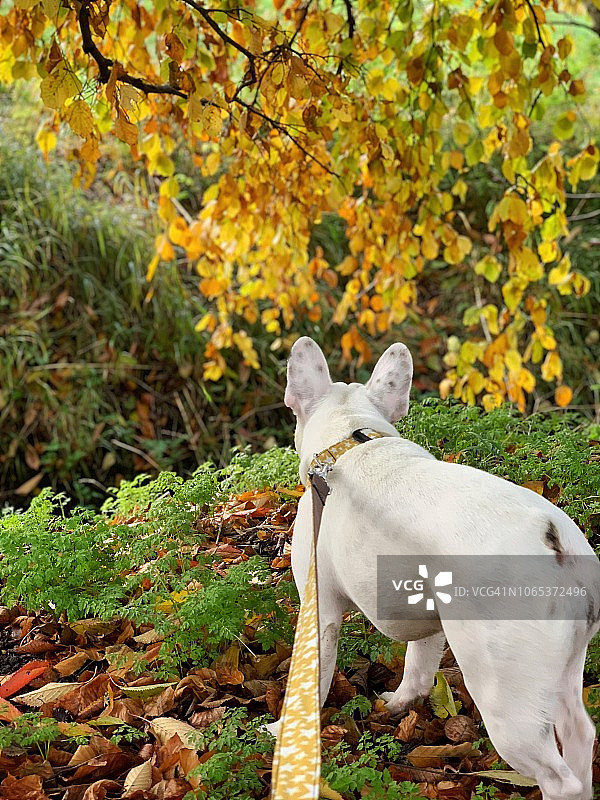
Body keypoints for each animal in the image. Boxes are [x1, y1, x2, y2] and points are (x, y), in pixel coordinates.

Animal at [274, 338, 600, 800]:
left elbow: (315, 678)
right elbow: (418, 668)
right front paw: (399, 703)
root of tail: (552, 538)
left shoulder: (319, 612)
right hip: (561, 667)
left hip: (505, 697)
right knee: (578, 732)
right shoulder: (427, 617)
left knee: (557, 777)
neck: (352, 438)